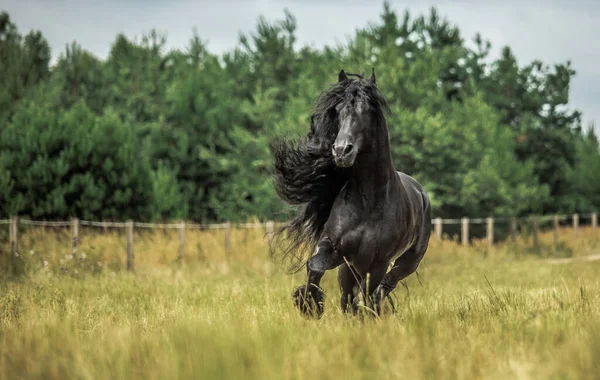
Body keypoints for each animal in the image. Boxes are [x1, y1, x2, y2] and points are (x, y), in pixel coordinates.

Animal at [268, 69, 432, 318]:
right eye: (337, 111)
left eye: (367, 110)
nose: (341, 151)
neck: (368, 201)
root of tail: (421, 192)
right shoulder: (336, 250)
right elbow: (315, 266)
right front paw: (308, 304)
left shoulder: (378, 261)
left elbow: (368, 293)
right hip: (350, 266)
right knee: (351, 295)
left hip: (408, 260)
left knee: (383, 287)